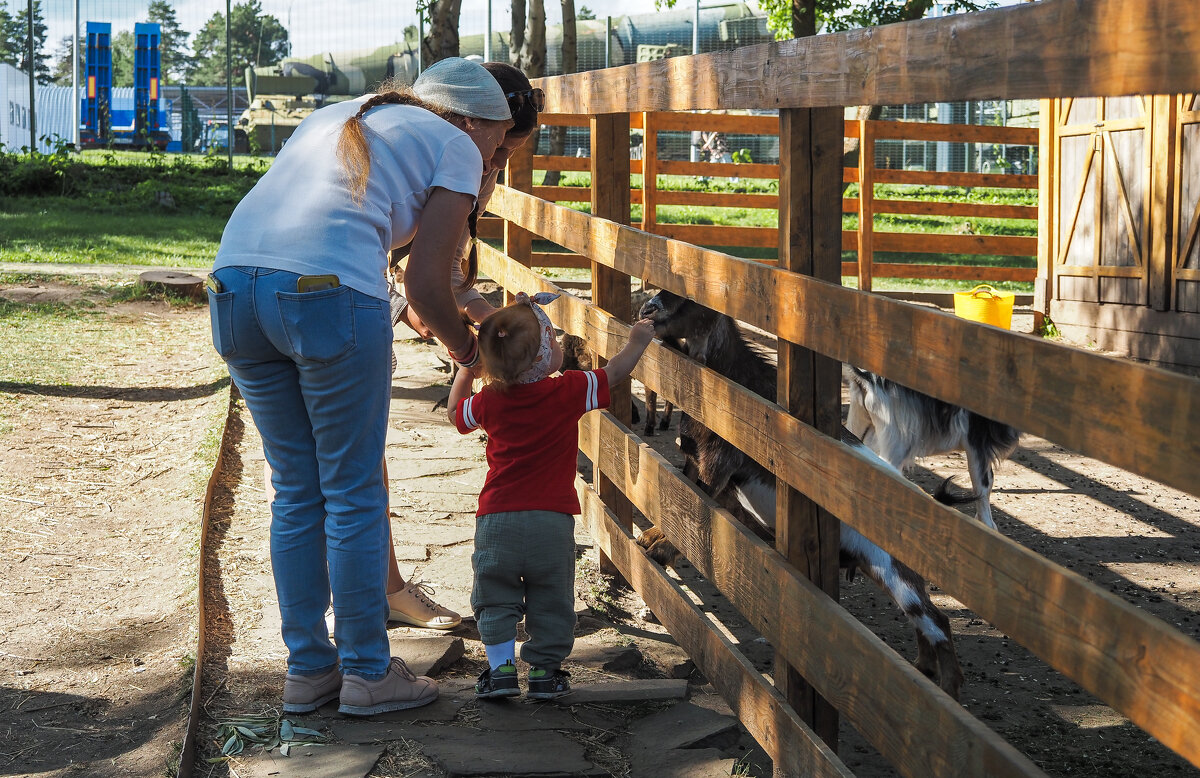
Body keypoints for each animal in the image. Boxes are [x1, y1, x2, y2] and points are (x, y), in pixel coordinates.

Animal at [638, 290, 964, 701]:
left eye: (691, 297)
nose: (646, 310)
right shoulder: (706, 471)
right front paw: (650, 542)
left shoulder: (719, 467)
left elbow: (690, 515)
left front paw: (654, 548)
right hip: (878, 567)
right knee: (924, 620)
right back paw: (923, 669)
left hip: (896, 571)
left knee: (938, 620)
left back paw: (947, 692)